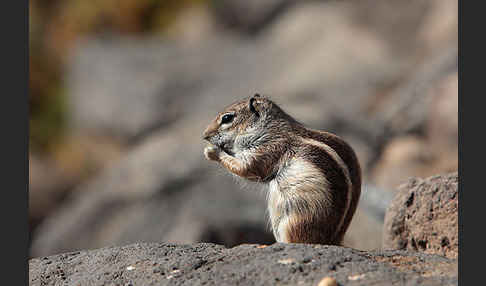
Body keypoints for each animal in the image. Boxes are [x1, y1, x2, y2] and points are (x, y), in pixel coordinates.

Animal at [201, 93, 360, 244]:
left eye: (227, 118)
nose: (204, 135)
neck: (268, 128)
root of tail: (333, 241)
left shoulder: (267, 150)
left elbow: (246, 168)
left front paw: (212, 151)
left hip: (295, 222)